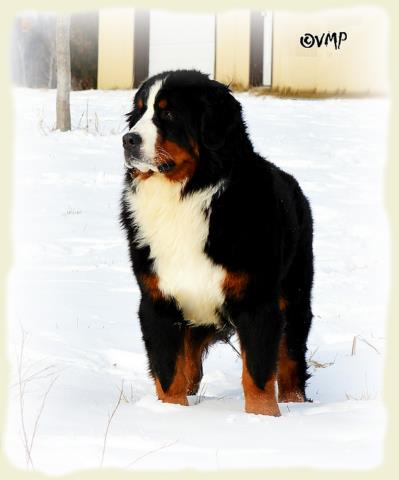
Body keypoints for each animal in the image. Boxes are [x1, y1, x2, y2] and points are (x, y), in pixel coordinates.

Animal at [120, 68, 314, 416]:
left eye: (168, 113)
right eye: (139, 112)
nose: (128, 139)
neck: (185, 195)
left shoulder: (257, 301)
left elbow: (258, 373)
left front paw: (263, 419)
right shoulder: (157, 300)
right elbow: (168, 370)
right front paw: (170, 413)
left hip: (295, 296)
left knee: (291, 359)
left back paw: (295, 405)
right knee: (190, 362)